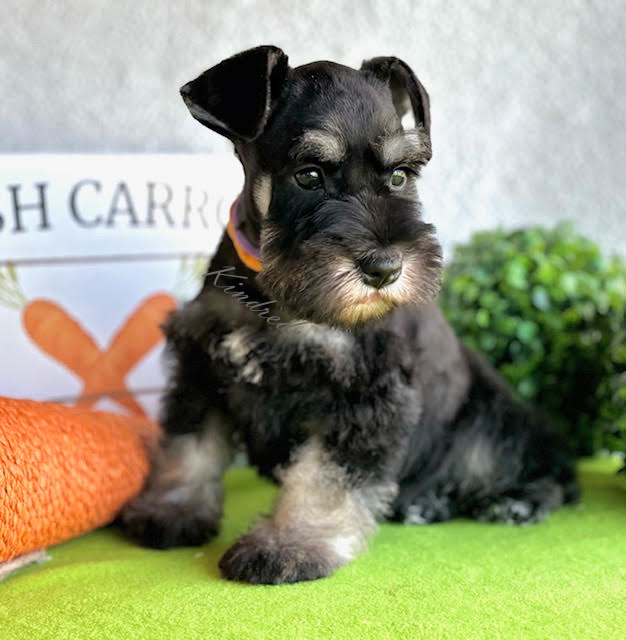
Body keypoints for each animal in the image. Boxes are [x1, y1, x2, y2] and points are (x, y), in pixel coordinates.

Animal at [121, 45, 579, 584]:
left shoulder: (366, 395)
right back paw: (425, 505)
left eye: (400, 176)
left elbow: (324, 478)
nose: (385, 269)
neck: (278, 296)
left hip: (489, 421)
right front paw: (170, 510)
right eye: (309, 174)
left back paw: (512, 502)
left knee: (542, 470)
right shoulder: (202, 366)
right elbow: (189, 447)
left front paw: (290, 546)